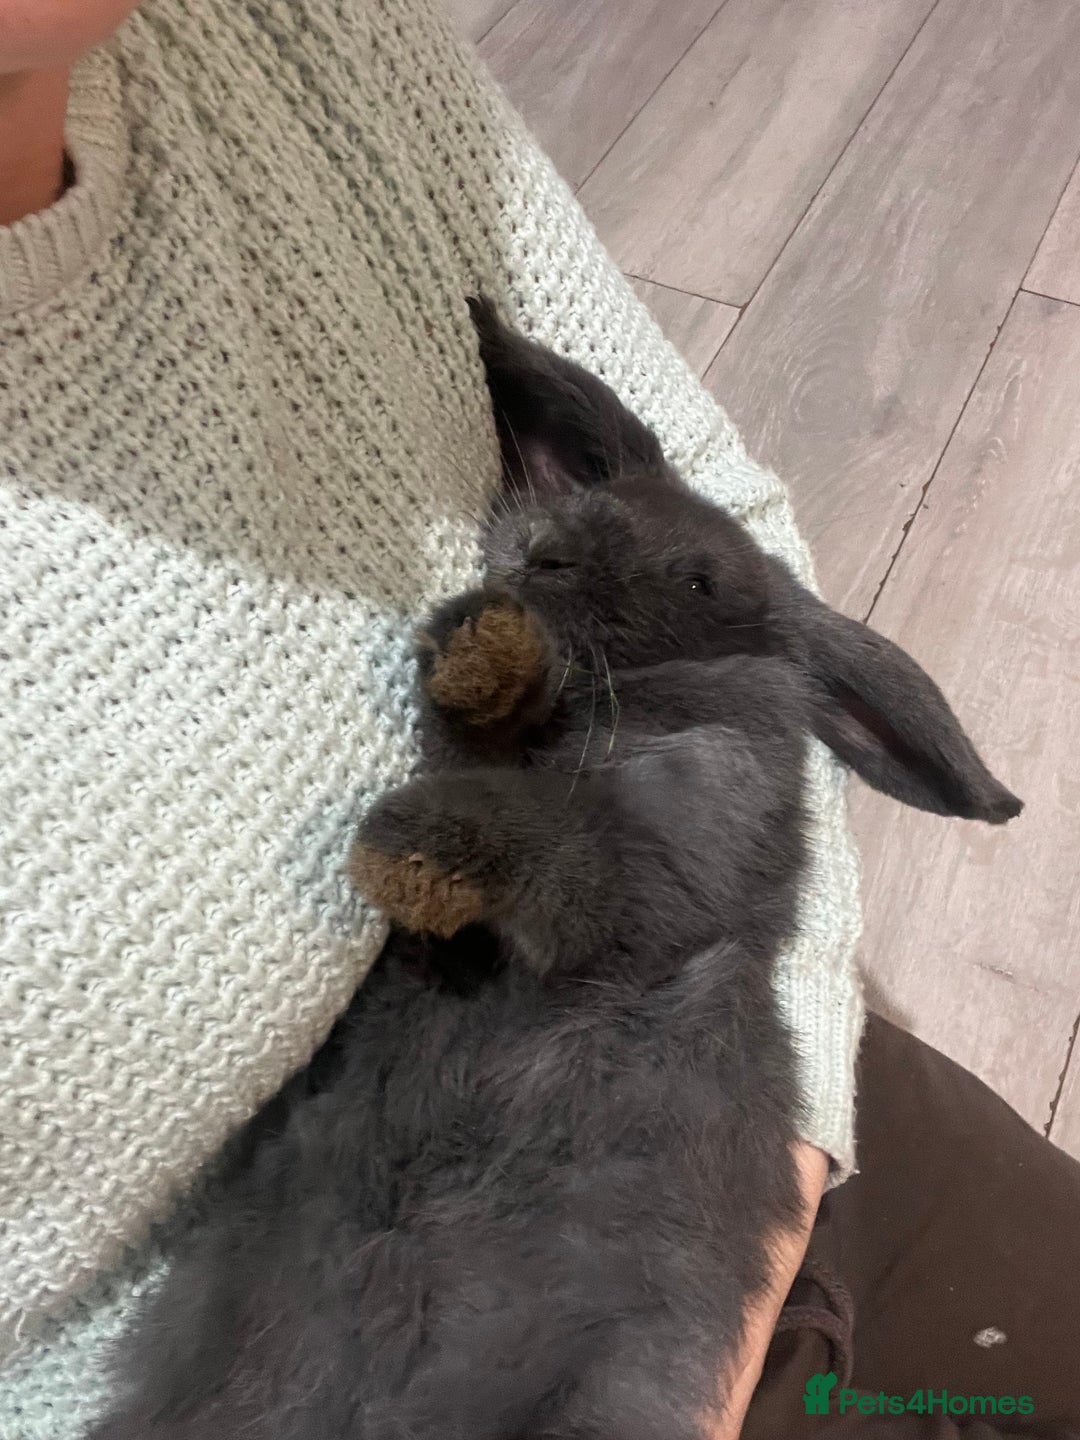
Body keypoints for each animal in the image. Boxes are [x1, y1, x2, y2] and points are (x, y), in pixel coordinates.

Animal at [89, 298, 1021, 1440]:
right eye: (594, 500)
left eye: (700, 580)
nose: (546, 553)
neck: (621, 697)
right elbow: (479, 745)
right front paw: (482, 655)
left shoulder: (668, 861)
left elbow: (564, 842)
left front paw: (419, 841)